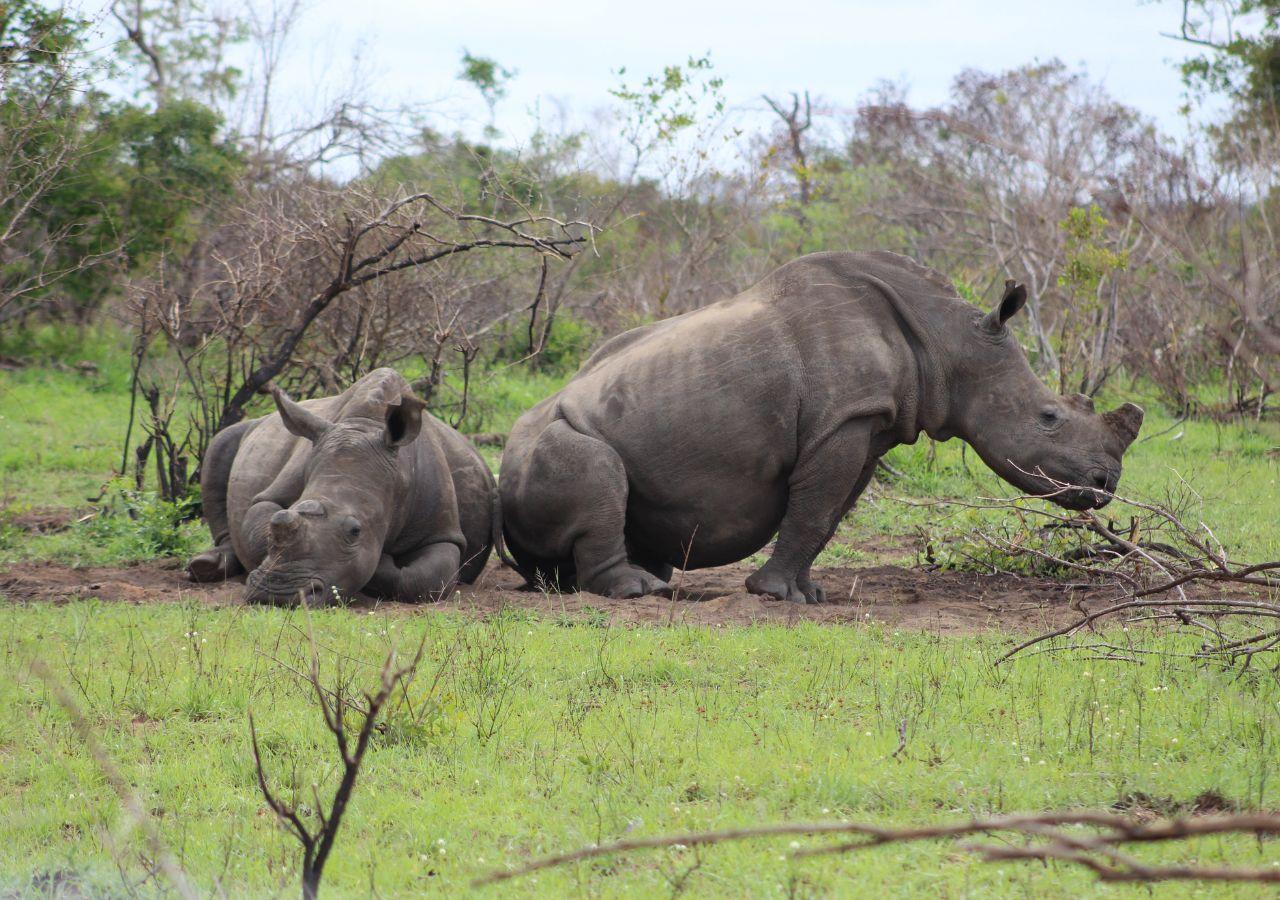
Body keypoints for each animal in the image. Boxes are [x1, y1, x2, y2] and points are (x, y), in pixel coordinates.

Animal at [187, 368, 497, 605]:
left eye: (355, 531)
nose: (277, 593)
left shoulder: (442, 531)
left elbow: (424, 578)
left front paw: (381, 561)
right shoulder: (272, 495)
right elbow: (258, 525)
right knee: (221, 443)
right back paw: (204, 567)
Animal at [499, 251, 1144, 603]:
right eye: (1049, 418)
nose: (1106, 484)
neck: (948, 339)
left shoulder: (866, 423)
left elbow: (829, 511)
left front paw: (807, 594)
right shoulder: (843, 420)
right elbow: (814, 508)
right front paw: (775, 597)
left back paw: (651, 579)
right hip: (543, 443)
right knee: (595, 466)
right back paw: (641, 591)